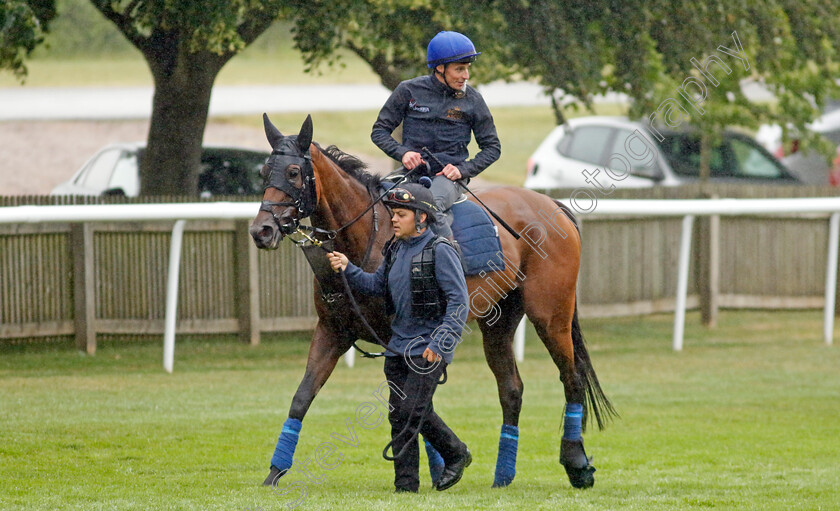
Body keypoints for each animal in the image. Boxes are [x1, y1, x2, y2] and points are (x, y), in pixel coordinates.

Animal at [246, 114, 612, 490]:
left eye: (293, 172)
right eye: (265, 172)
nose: (261, 231)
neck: (369, 236)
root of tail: (553, 206)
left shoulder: (399, 340)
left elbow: (413, 401)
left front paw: (445, 463)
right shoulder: (333, 332)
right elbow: (302, 397)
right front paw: (275, 471)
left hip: (550, 316)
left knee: (572, 377)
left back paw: (577, 463)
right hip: (498, 323)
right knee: (511, 389)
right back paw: (503, 474)